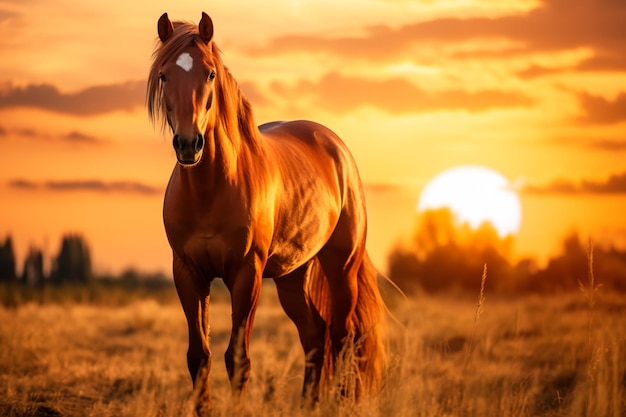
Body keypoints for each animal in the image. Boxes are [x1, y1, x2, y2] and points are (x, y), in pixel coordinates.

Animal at [147, 11, 386, 414]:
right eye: (164, 75)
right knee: (315, 337)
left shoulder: (247, 274)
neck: (211, 190)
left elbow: (237, 359)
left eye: (209, 74)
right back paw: (308, 405)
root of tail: (335, 146)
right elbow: (199, 356)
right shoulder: (188, 273)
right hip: (293, 275)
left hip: (342, 269)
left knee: (342, 337)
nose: (189, 144)